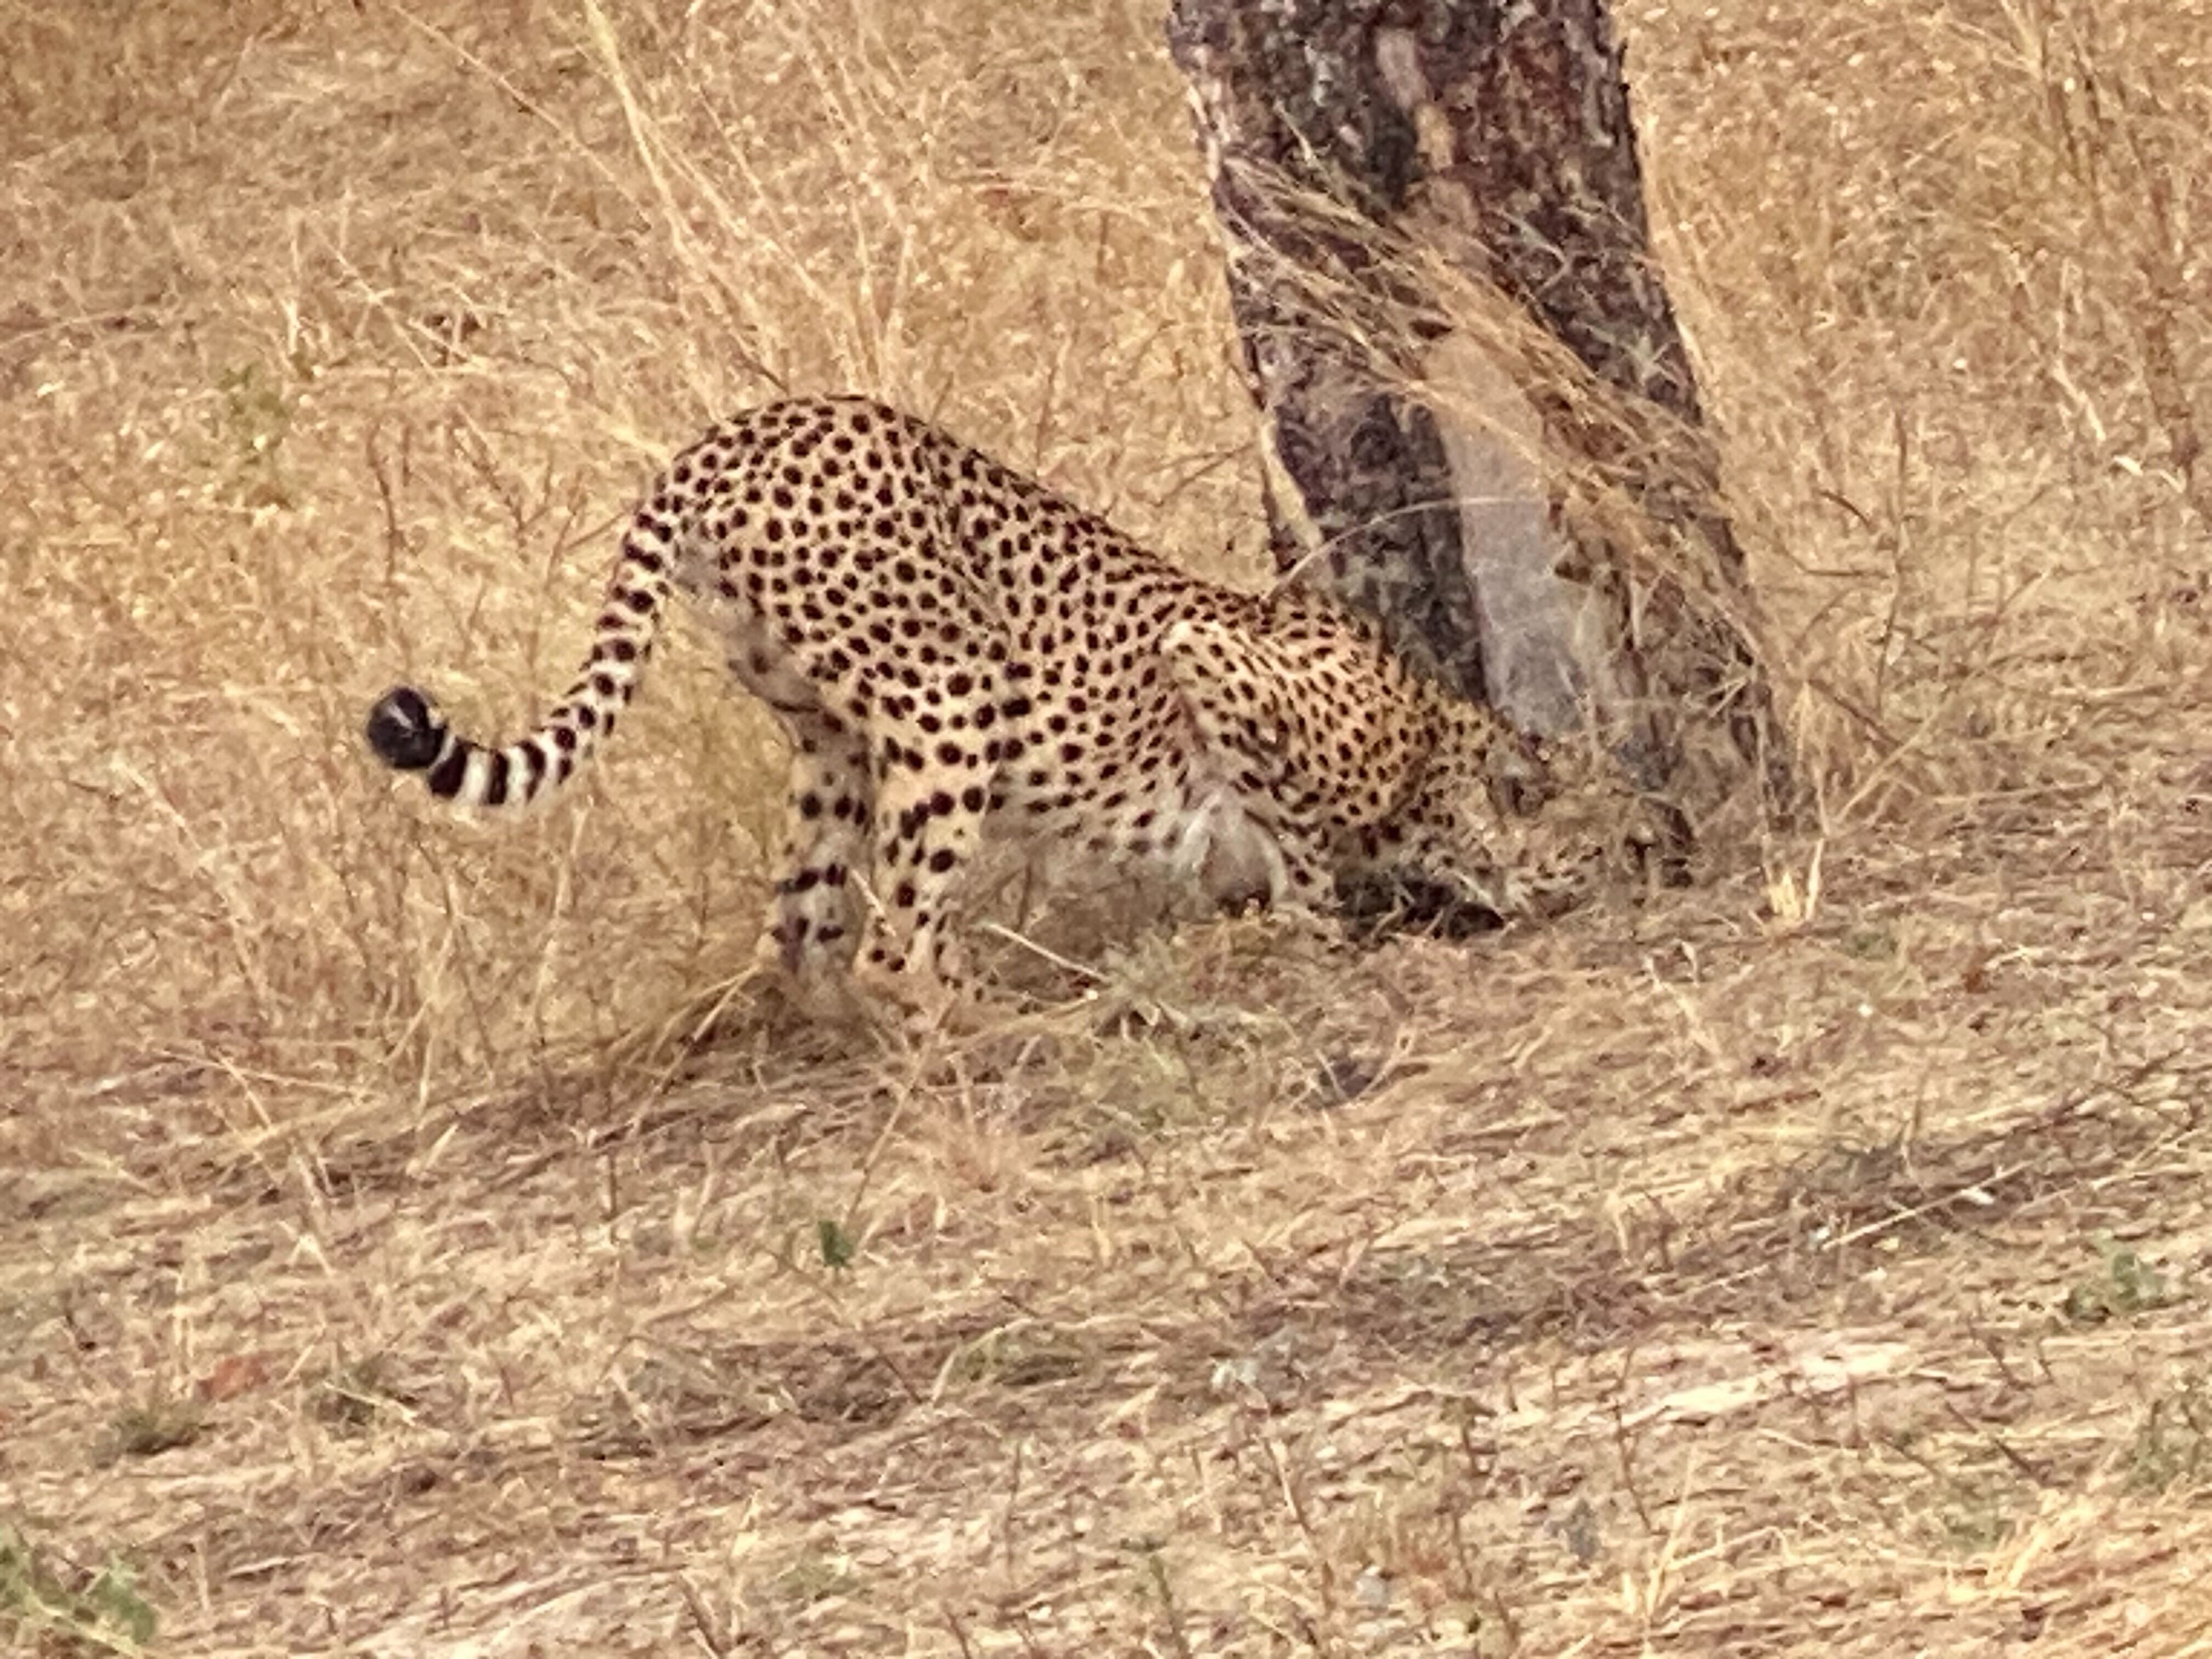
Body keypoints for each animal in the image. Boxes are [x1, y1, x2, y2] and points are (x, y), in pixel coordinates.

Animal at [364, 395, 1620, 1019]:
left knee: (803, 931)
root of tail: (725, 439)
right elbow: (1298, 847)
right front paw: (1317, 937)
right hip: (947, 701)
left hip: (829, 738)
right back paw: (1005, 1031)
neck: (1434, 741)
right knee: (893, 940)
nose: (1639, 853)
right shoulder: (1213, 660)